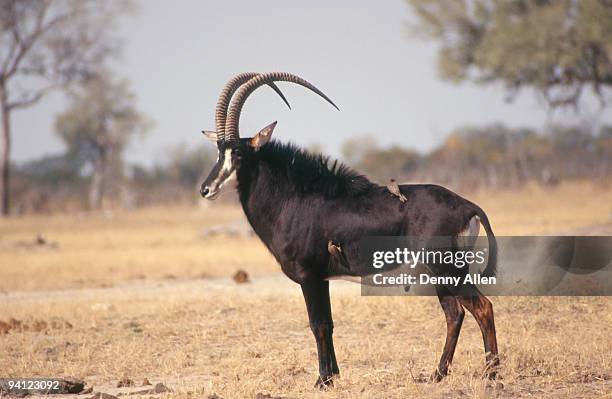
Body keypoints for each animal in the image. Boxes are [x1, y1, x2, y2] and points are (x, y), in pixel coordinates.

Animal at [200, 72, 498, 388]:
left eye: (239, 153)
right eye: (219, 152)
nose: (206, 189)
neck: (294, 198)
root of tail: (467, 205)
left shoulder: (310, 277)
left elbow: (318, 325)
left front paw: (321, 380)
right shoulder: (323, 279)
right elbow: (328, 325)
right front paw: (332, 376)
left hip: (448, 269)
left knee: (482, 307)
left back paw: (491, 373)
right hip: (440, 275)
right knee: (454, 314)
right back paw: (438, 374)